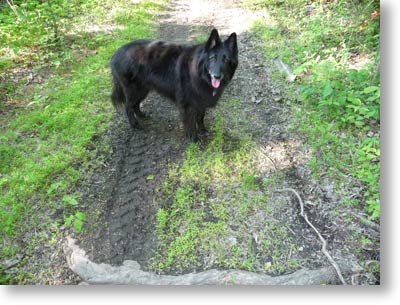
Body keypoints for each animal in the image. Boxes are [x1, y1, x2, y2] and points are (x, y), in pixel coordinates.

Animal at [109, 28, 238, 140]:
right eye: (212, 58)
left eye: (226, 60)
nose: (217, 76)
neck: (199, 72)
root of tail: (116, 54)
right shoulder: (189, 105)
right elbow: (191, 123)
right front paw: (193, 138)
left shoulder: (201, 102)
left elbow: (201, 117)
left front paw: (203, 130)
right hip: (134, 90)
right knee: (128, 107)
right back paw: (135, 124)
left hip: (142, 90)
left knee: (135, 104)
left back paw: (141, 115)